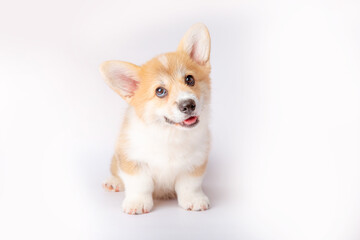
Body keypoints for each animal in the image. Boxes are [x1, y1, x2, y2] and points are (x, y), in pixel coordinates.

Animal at [99, 23, 211, 214]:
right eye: (160, 91)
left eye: (190, 79)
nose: (188, 105)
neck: (169, 134)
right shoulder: (133, 160)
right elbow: (140, 185)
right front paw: (137, 203)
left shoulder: (195, 163)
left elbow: (190, 185)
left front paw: (194, 199)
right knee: (115, 171)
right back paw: (113, 182)